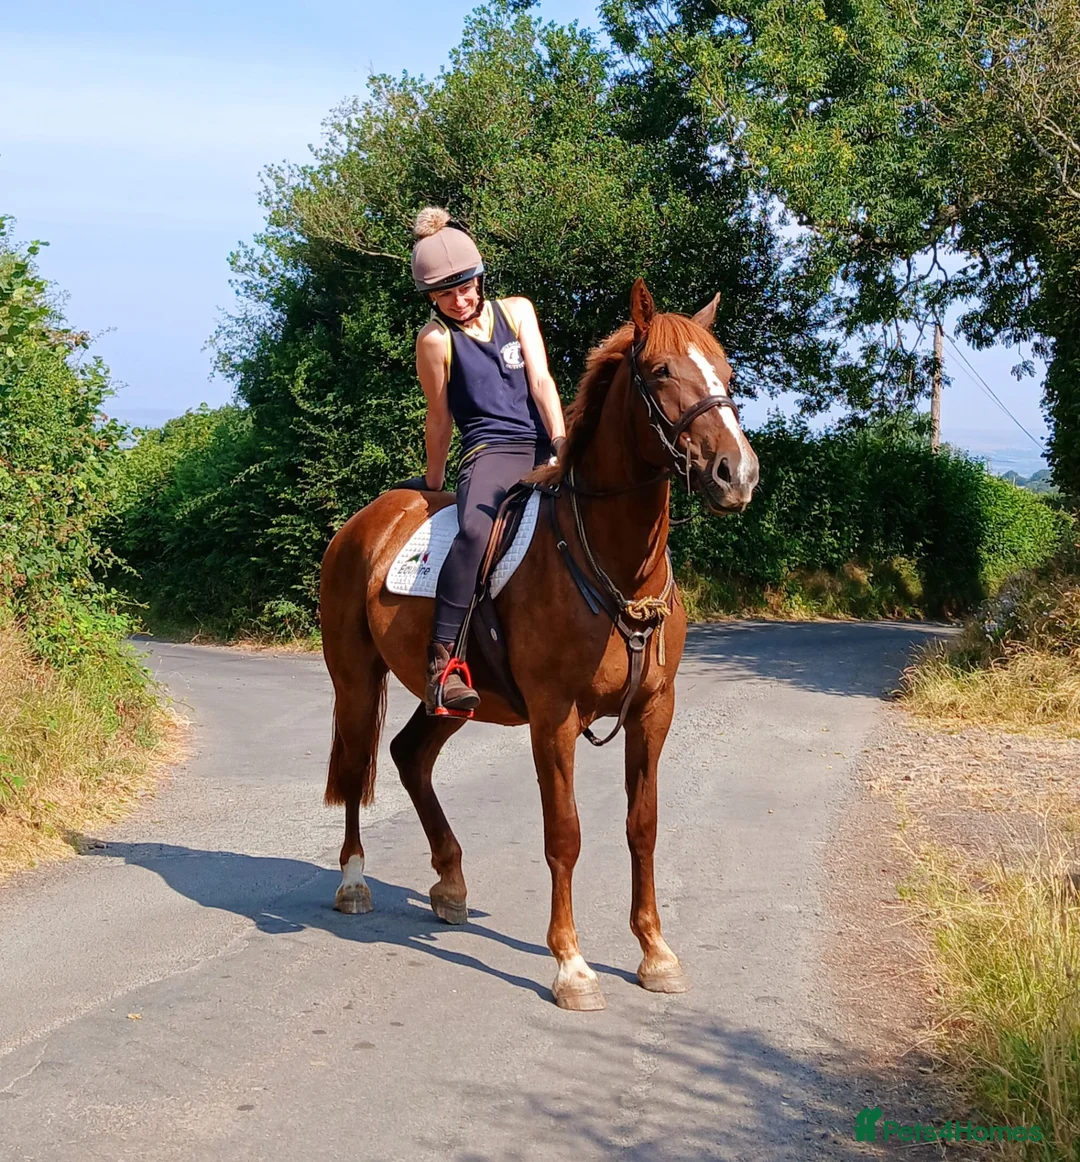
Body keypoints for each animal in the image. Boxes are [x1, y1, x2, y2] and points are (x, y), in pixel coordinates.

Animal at [318, 278, 759, 1011]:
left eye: (726, 374)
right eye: (661, 372)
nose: (737, 473)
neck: (612, 564)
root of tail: (370, 518)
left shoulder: (654, 712)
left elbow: (643, 827)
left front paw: (655, 953)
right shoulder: (554, 718)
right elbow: (565, 835)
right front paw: (571, 966)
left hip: (453, 699)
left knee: (410, 755)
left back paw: (451, 883)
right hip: (355, 681)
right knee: (357, 769)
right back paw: (353, 882)